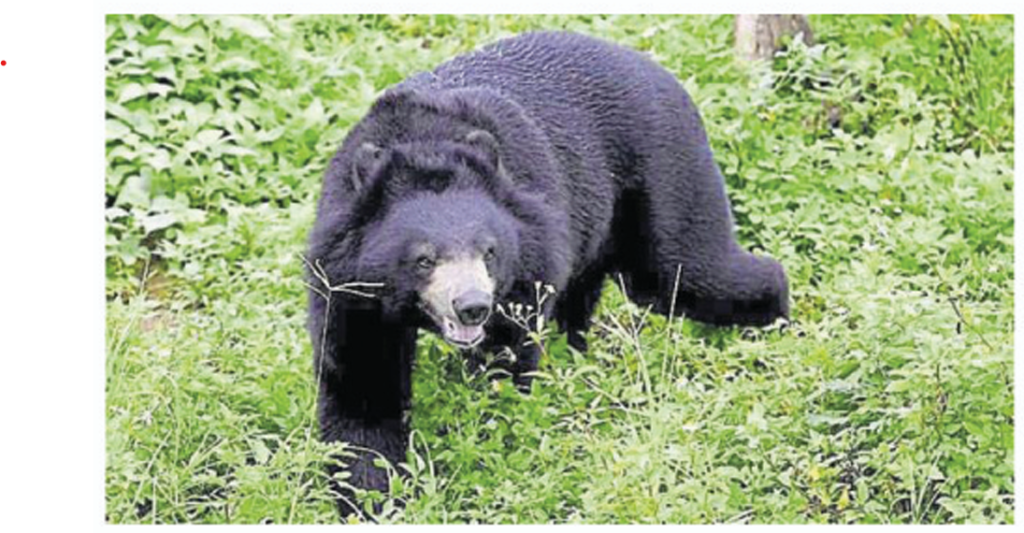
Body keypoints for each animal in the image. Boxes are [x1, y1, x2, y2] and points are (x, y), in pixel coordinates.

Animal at [306, 31, 789, 517]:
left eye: (489, 251)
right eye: (424, 259)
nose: (472, 307)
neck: (423, 141)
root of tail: (661, 71)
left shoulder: (528, 257)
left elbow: (506, 360)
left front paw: (493, 437)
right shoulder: (349, 284)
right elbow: (363, 383)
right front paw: (370, 498)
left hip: (664, 176)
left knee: (687, 272)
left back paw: (778, 320)